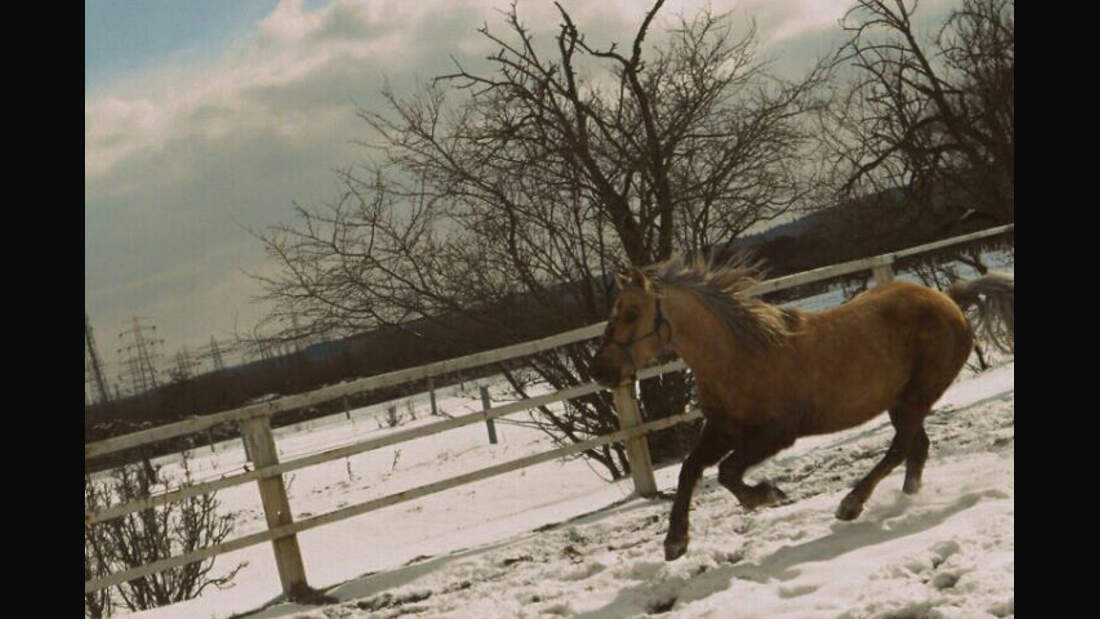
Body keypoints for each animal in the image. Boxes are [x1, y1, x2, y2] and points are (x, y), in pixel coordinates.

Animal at [594, 255, 1012, 562]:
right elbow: (689, 469)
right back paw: (904, 499)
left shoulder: (776, 433)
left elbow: (727, 472)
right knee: (916, 447)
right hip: (901, 401)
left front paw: (768, 495)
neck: (737, 354)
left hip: (916, 397)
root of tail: (951, 300)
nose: (602, 370)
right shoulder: (722, 428)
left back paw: (851, 504)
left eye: (631, 313)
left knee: (900, 448)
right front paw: (675, 543)